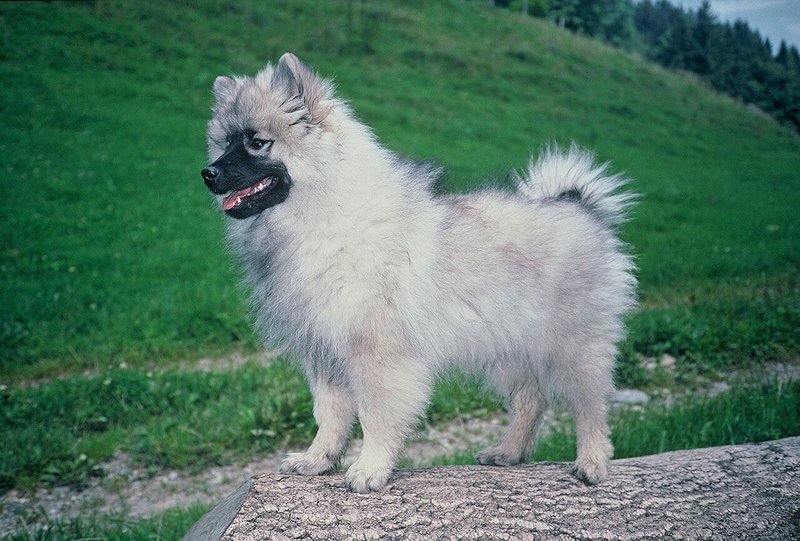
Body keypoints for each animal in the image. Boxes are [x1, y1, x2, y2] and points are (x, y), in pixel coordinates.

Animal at [201, 53, 636, 493]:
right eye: (224, 144)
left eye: (257, 143)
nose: (208, 173)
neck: (323, 213)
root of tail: (579, 206)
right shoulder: (323, 353)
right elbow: (330, 415)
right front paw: (317, 459)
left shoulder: (377, 354)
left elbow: (375, 416)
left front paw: (370, 468)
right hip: (507, 348)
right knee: (531, 400)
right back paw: (509, 452)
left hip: (572, 346)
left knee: (590, 407)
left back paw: (591, 462)